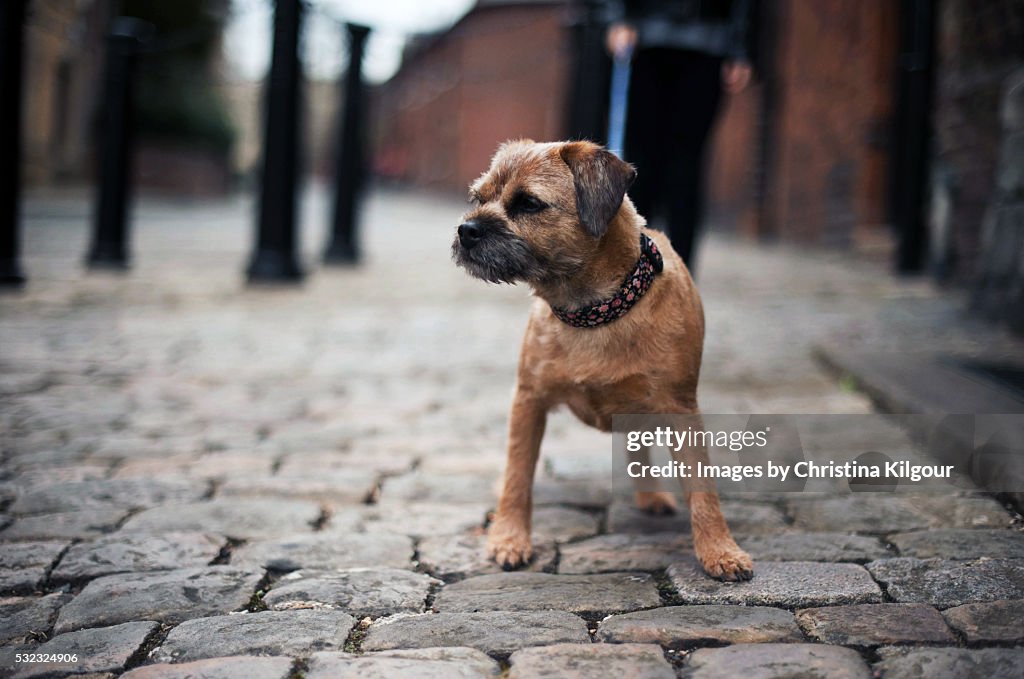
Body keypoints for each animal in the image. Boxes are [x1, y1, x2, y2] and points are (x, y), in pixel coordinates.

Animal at [448, 140, 753, 581]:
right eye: (478, 198)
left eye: (528, 203)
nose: (466, 229)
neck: (593, 310)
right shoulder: (528, 400)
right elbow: (519, 475)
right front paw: (509, 539)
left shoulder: (682, 410)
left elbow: (702, 489)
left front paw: (719, 551)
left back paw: (650, 495)